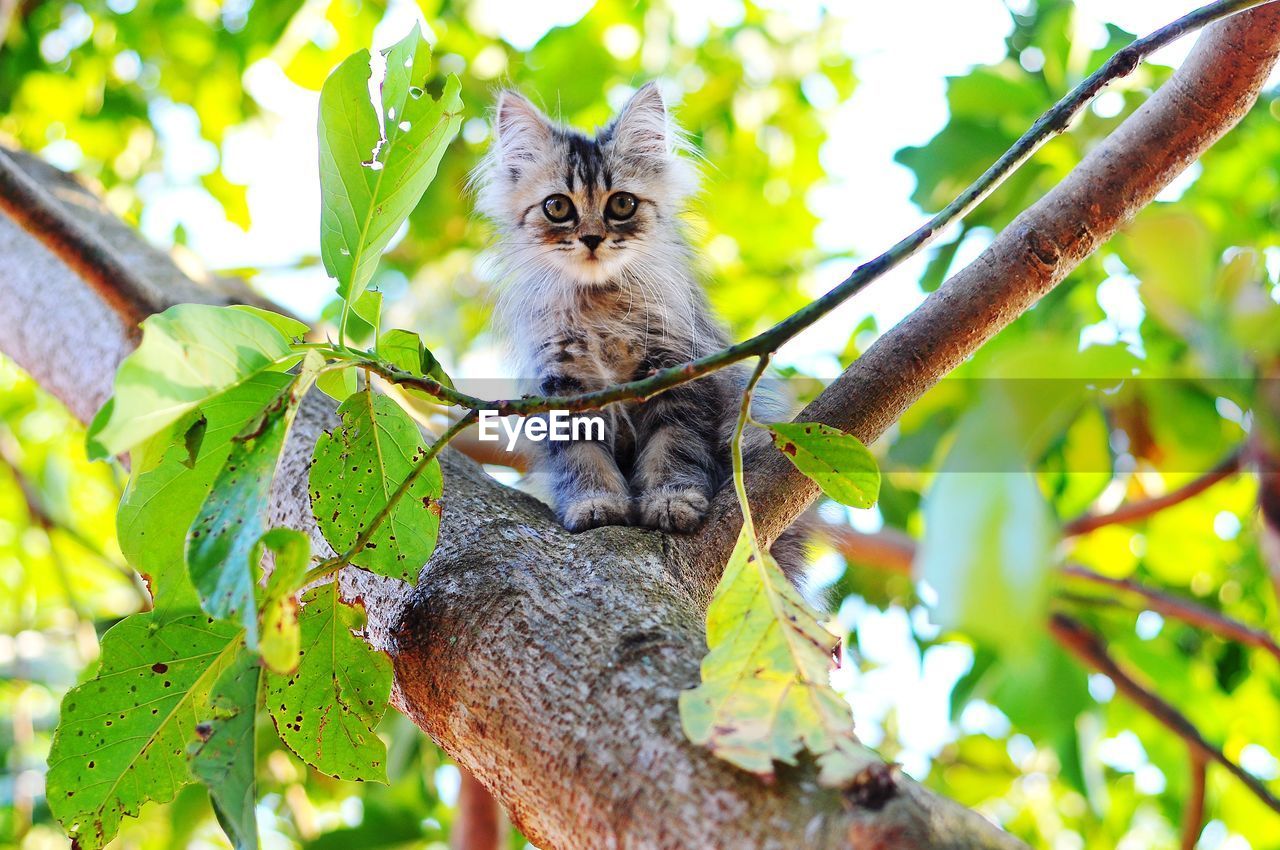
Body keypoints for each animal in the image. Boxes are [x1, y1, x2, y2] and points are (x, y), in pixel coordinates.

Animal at [478, 84, 798, 570]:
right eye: (557, 207)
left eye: (622, 204)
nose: (592, 238)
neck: (601, 310)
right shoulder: (564, 386)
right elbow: (584, 458)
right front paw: (595, 505)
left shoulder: (677, 371)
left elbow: (673, 448)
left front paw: (671, 502)